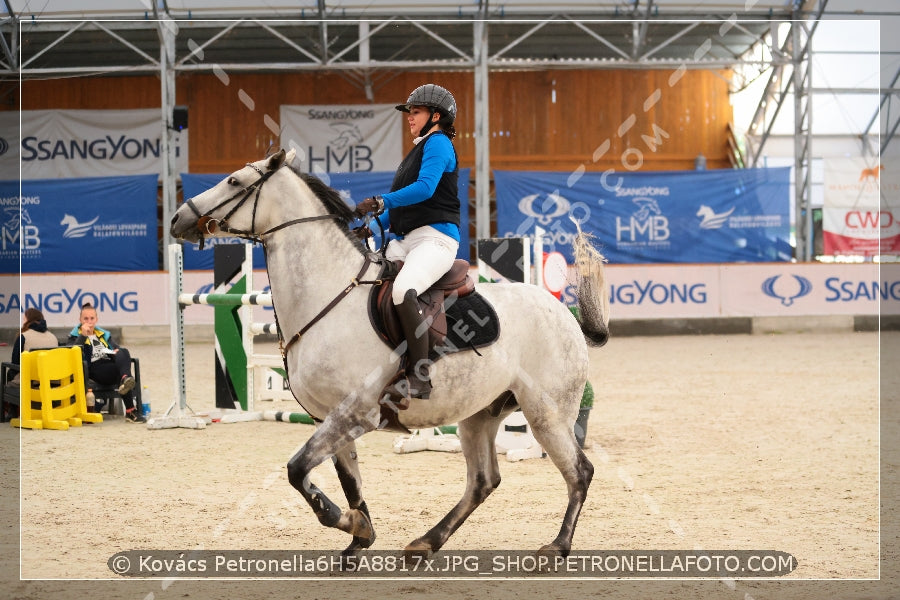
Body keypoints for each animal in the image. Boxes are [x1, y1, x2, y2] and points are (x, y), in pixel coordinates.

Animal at [169, 149, 612, 556]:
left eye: (233, 181)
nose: (177, 220)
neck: (327, 293)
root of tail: (565, 315)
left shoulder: (354, 413)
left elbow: (297, 471)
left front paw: (346, 523)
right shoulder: (329, 417)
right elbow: (348, 482)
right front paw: (358, 537)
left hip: (546, 414)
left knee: (579, 471)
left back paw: (556, 547)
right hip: (479, 415)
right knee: (483, 481)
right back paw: (426, 543)